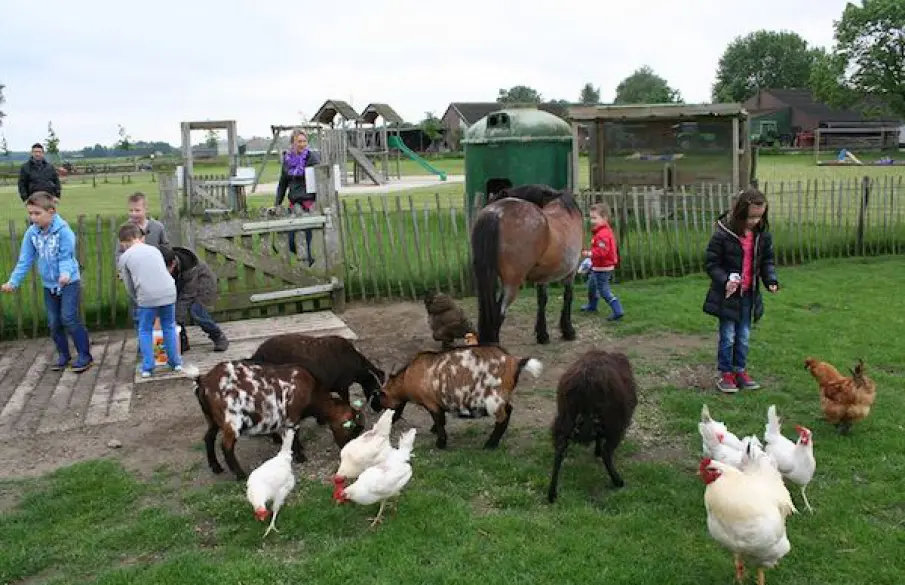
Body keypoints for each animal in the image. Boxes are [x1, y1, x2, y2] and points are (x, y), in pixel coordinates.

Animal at [192, 360, 366, 480]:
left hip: (212, 419)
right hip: (231, 419)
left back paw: (216, 467)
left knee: (208, 438)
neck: (312, 392)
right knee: (226, 446)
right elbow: (294, 435)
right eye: (352, 429)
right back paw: (240, 475)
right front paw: (300, 456)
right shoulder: (292, 416)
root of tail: (203, 381)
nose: (346, 450)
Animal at [370, 344, 540, 450]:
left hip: (494, 399)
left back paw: (490, 445)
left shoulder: (431, 403)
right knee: (509, 410)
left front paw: (440, 443)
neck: (407, 376)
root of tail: (514, 361)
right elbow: (439, 420)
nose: (374, 406)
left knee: (503, 418)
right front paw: (434, 432)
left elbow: (439, 421)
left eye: (378, 396)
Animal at [470, 185, 584, 344]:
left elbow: (542, 300)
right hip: (512, 283)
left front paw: (542, 334)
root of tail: (496, 212)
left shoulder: (543, 277)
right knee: (498, 314)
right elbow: (568, 296)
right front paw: (568, 331)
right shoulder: (571, 273)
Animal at [544, 346, 636, 502]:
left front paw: (596, 451)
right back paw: (618, 481)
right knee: (607, 452)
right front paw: (597, 452)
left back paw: (552, 493)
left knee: (559, 450)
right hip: (615, 423)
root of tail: (586, 380)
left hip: (565, 416)